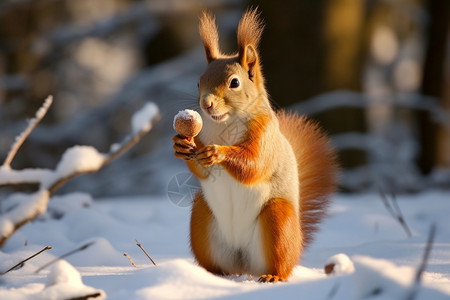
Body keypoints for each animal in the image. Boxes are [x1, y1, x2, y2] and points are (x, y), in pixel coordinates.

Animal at [172, 8, 338, 282]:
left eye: (234, 83)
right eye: (199, 81)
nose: (206, 103)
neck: (225, 124)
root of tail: (244, 264)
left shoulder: (265, 136)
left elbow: (253, 165)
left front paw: (218, 153)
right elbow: (202, 170)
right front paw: (181, 145)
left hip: (277, 219)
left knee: (281, 263)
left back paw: (273, 276)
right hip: (201, 216)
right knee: (218, 263)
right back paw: (211, 275)